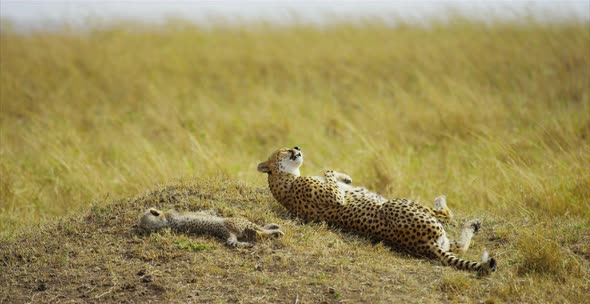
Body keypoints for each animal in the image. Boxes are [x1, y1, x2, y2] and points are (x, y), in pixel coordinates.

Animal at [140, 208, 286, 248]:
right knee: (261, 231)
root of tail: (228, 232)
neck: (163, 222)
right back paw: (276, 231)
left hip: (239, 232)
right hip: (243, 222)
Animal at [260, 146, 500, 274]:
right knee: (446, 216)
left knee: (459, 246)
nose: (297, 148)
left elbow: (333, 175)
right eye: (284, 150)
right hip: (395, 203)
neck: (286, 178)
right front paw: (339, 177)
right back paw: (445, 203)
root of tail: (423, 244)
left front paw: (345, 177)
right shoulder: (334, 197)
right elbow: (328, 173)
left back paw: (472, 225)